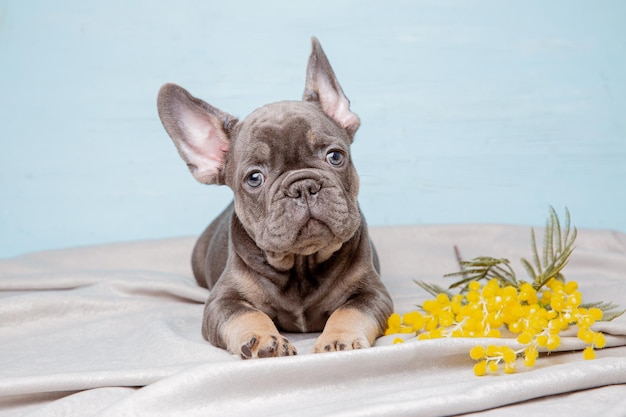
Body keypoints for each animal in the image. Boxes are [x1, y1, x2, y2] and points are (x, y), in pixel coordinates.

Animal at [157, 36, 390, 358]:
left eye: (335, 156)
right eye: (254, 178)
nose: (303, 186)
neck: (301, 265)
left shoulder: (372, 293)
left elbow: (350, 311)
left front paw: (337, 339)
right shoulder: (222, 301)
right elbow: (246, 314)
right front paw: (263, 339)